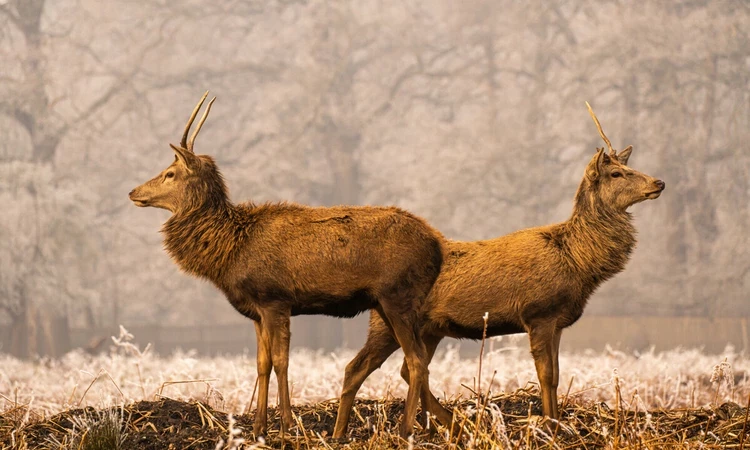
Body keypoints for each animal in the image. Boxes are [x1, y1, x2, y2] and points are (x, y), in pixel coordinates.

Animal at [128, 92, 446, 438]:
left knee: (416, 360)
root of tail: (437, 246)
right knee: (415, 360)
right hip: (388, 304)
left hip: (397, 295)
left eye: (170, 173)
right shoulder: (256, 311)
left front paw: (287, 425)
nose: (133, 191)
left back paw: (406, 430)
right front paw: (258, 428)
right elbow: (261, 364)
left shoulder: (274, 299)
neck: (230, 251)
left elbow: (282, 361)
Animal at [332, 104, 666, 438]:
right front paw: (548, 427)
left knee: (409, 368)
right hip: (386, 322)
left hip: (428, 328)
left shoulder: (558, 321)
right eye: (616, 173)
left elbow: (557, 376)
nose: (658, 183)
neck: (578, 263)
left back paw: (454, 425)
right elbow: (546, 376)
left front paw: (557, 423)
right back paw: (345, 432)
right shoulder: (538, 313)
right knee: (358, 367)